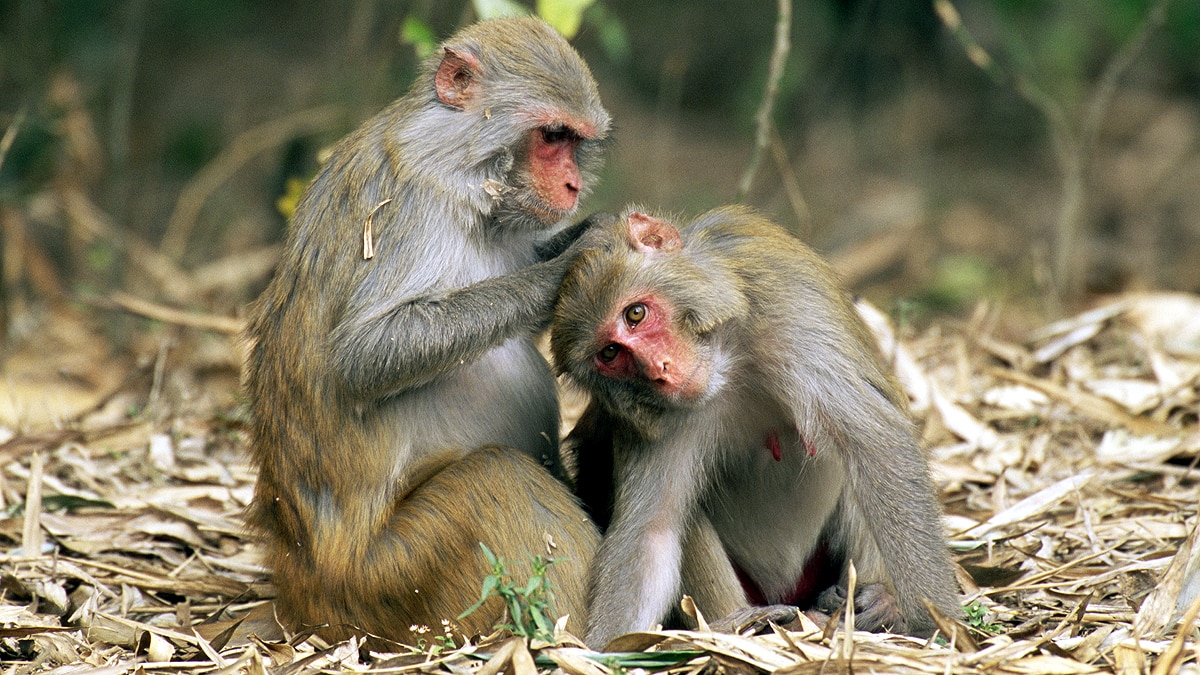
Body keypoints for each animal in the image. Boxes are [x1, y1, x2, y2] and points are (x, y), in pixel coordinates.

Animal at [243, 17, 610, 647]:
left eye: (574, 142)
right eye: (551, 135)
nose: (570, 186)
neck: (456, 153)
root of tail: (302, 587)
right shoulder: (413, 205)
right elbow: (364, 355)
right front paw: (570, 264)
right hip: (392, 575)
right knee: (498, 477)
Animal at [550, 206, 959, 648]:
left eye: (636, 314)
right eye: (610, 354)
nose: (659, 371)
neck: (728, 358)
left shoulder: (792, 311)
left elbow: (878, 445)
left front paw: (938, 624)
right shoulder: (652, 419)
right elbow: (652, 533)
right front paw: (601, 650)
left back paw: (874, 602)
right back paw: (748, 625)